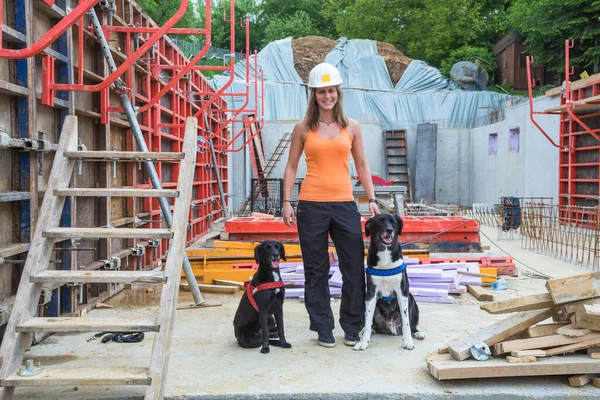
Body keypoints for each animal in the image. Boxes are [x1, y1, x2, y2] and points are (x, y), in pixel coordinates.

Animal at [354, 212, 424, 350]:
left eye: (394, 222)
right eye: (379, 222)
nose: (389, 230)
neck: (384, 253)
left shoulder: (402, 292)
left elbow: (406, 322)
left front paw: (408, 341)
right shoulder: (370, 294)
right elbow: (368, 320)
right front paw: (364, 341)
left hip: (411, 298)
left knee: (412, 324)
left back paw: (417, 333)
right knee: (371, 324)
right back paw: (368, 329)